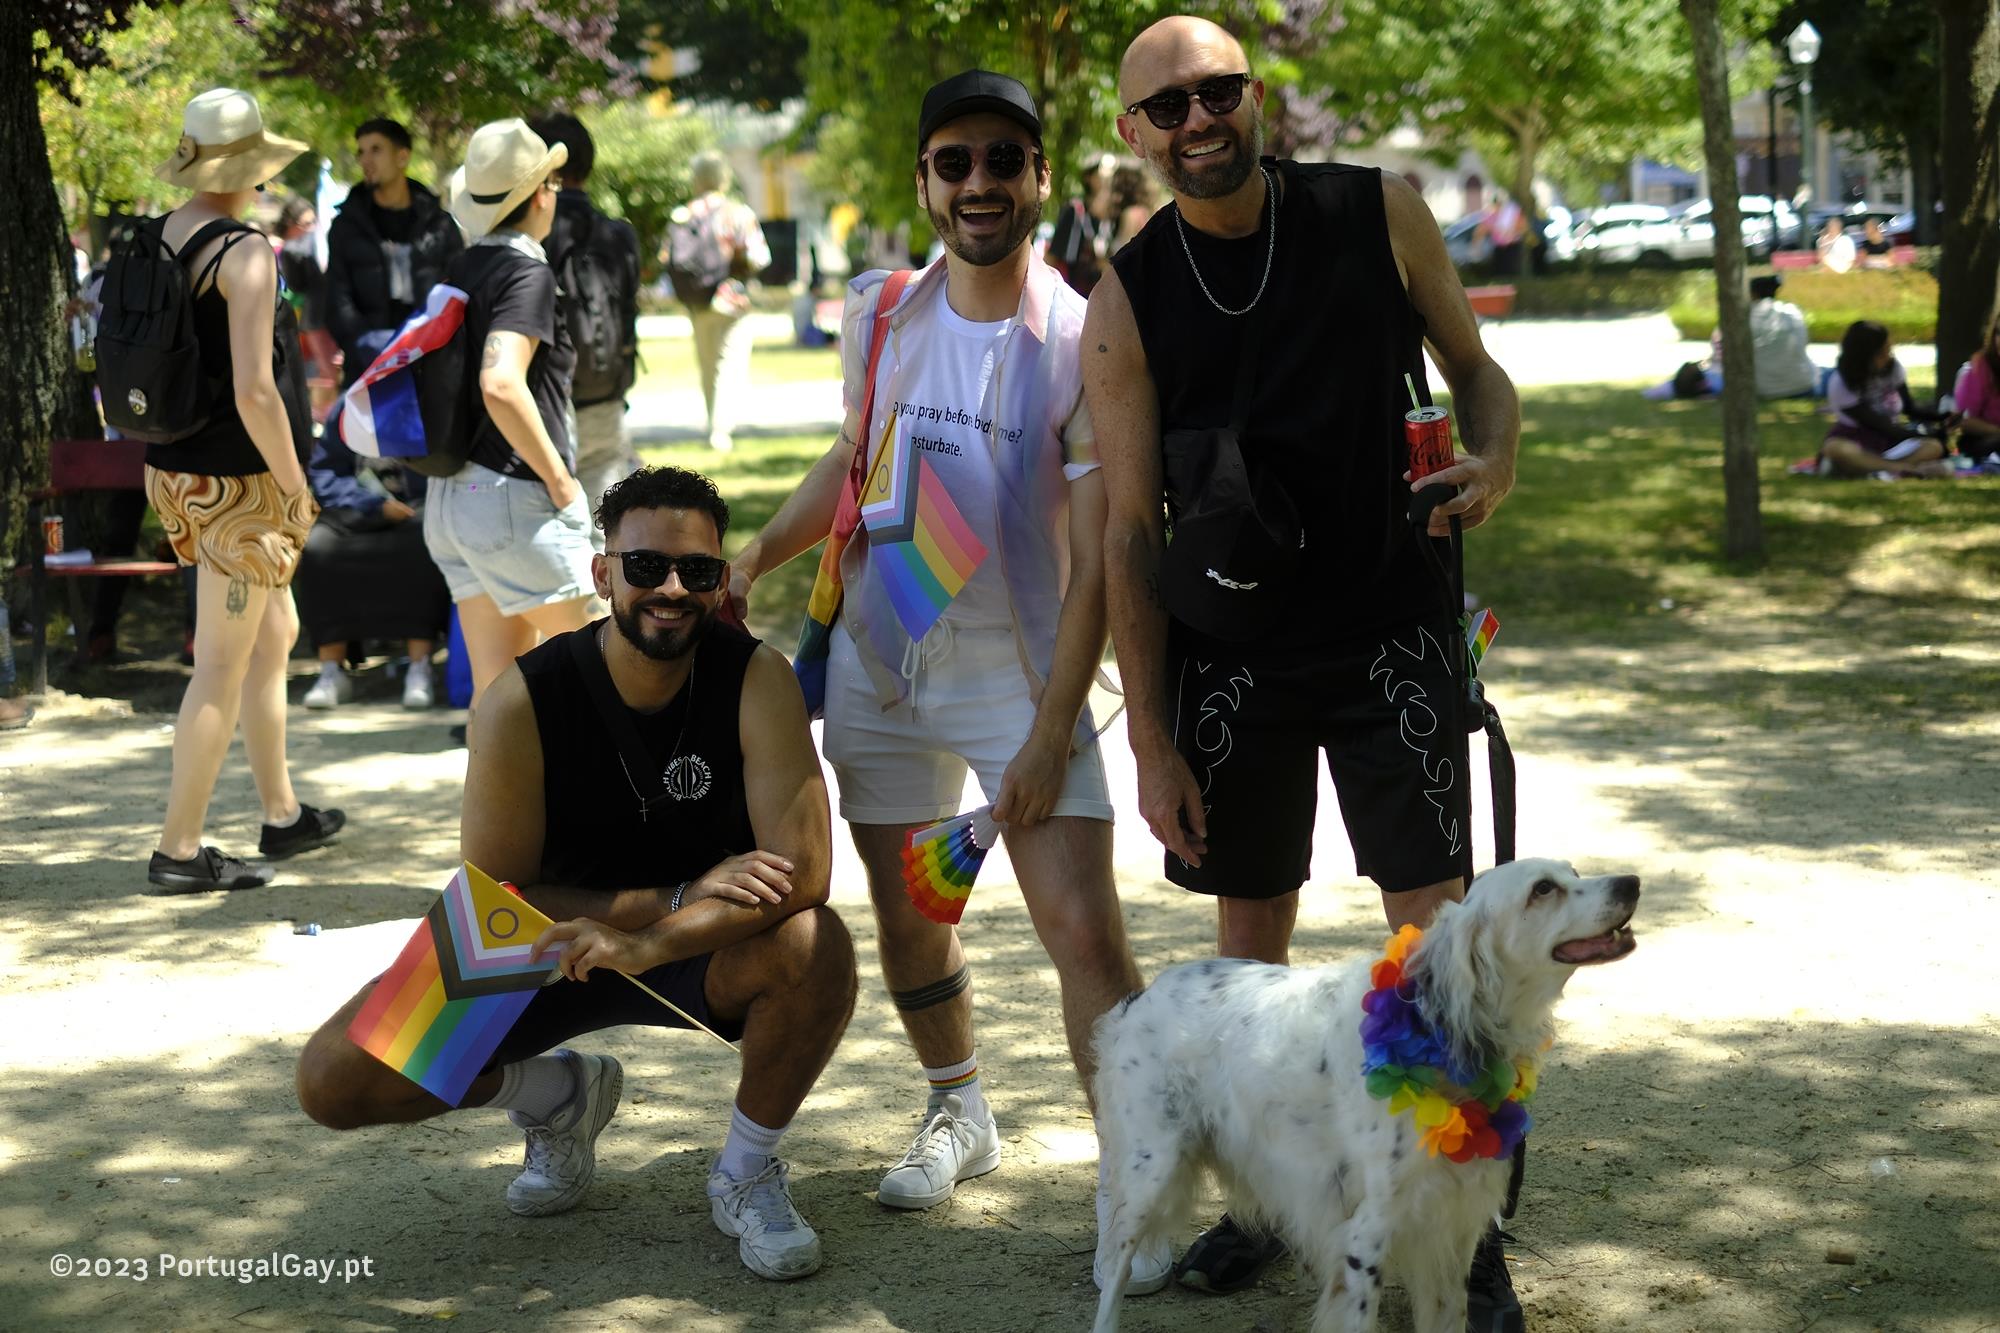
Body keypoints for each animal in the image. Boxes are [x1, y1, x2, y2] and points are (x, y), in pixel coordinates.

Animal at [1090, 858, 1640, 1333]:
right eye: (1542, 889)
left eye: (1573, 872)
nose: (1632, 882)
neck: (1437, 1034)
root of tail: (1143, 995)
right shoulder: (1365, 1238)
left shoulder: (1451, 1234)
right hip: (1149, 1171)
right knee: (1113, 1276)